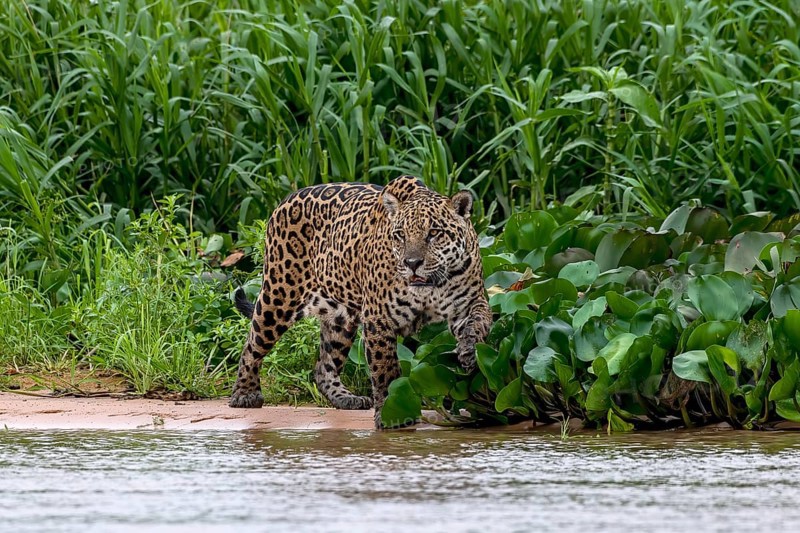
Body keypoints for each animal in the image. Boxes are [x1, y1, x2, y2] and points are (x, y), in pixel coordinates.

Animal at [229, 175, 492, 428]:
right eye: (400, 235)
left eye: (434, 233)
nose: (412, 263)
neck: (430, 287)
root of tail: (285, 199)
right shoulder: (378, 319)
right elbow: (385, 369)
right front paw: (391, 413)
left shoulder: (469, 303)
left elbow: (480, 321)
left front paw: (469, 350)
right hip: (279, 296)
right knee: (252, 344)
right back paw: (244, 394)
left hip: (340, 320)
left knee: (323, 366)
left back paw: (346, 398)